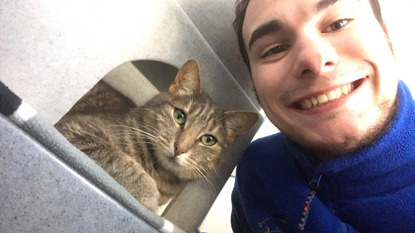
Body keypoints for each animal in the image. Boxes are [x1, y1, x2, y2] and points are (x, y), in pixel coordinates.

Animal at [54, 59, 256, 212]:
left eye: (208, 140)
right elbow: (120, 160)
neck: (158, 172)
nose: (179, 148)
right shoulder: (75, 128)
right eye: (179, 116)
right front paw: (148, 195)